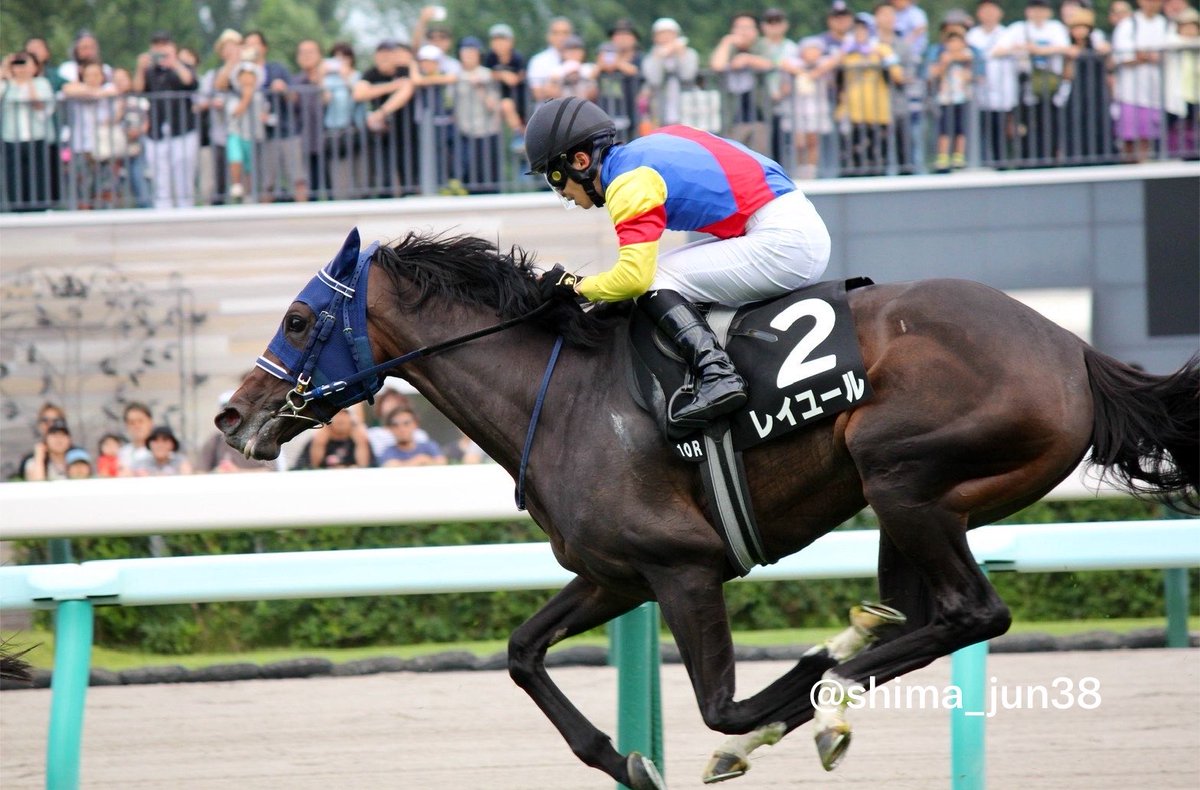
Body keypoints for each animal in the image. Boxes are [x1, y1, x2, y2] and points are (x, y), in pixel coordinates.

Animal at [216, 228, 1198, 789]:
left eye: (299, 320)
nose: (231, 417)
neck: (562, 395)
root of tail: (1070, 348)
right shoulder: (618, 574)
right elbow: (523, 653)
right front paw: (626, 760)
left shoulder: (684, 569)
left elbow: (725, 710)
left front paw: (782, 700)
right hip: (917, 506)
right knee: (923, 612)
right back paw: (850, 653)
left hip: (901, 475)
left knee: (973, 612)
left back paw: (834, 679)